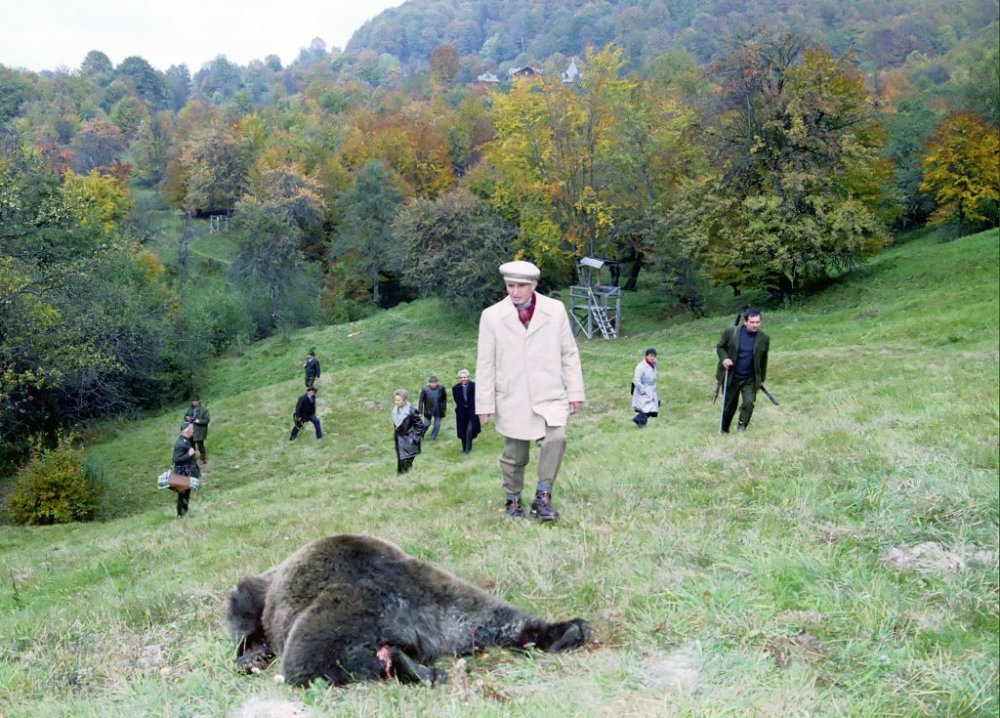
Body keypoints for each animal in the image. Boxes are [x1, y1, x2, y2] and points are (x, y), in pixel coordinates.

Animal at [227, 536, 592, 688]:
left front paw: (250, 655)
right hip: (449, 601)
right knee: (495, 617)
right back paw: (563, 632)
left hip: (338, 611)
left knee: (308, 660)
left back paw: (408, 668)